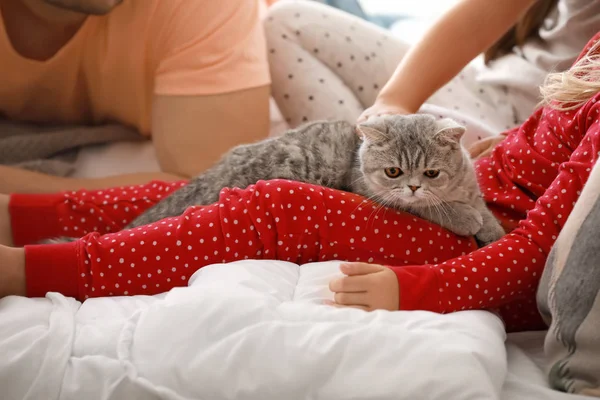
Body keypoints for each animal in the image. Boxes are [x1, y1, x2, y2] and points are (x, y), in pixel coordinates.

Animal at [116, 112, 502, 244]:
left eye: (431, 172)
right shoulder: (374, 191)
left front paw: (494, 228)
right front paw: (465, 218)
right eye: (393, 171)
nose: (413, 186)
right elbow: (433, 208)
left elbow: (484, 209)